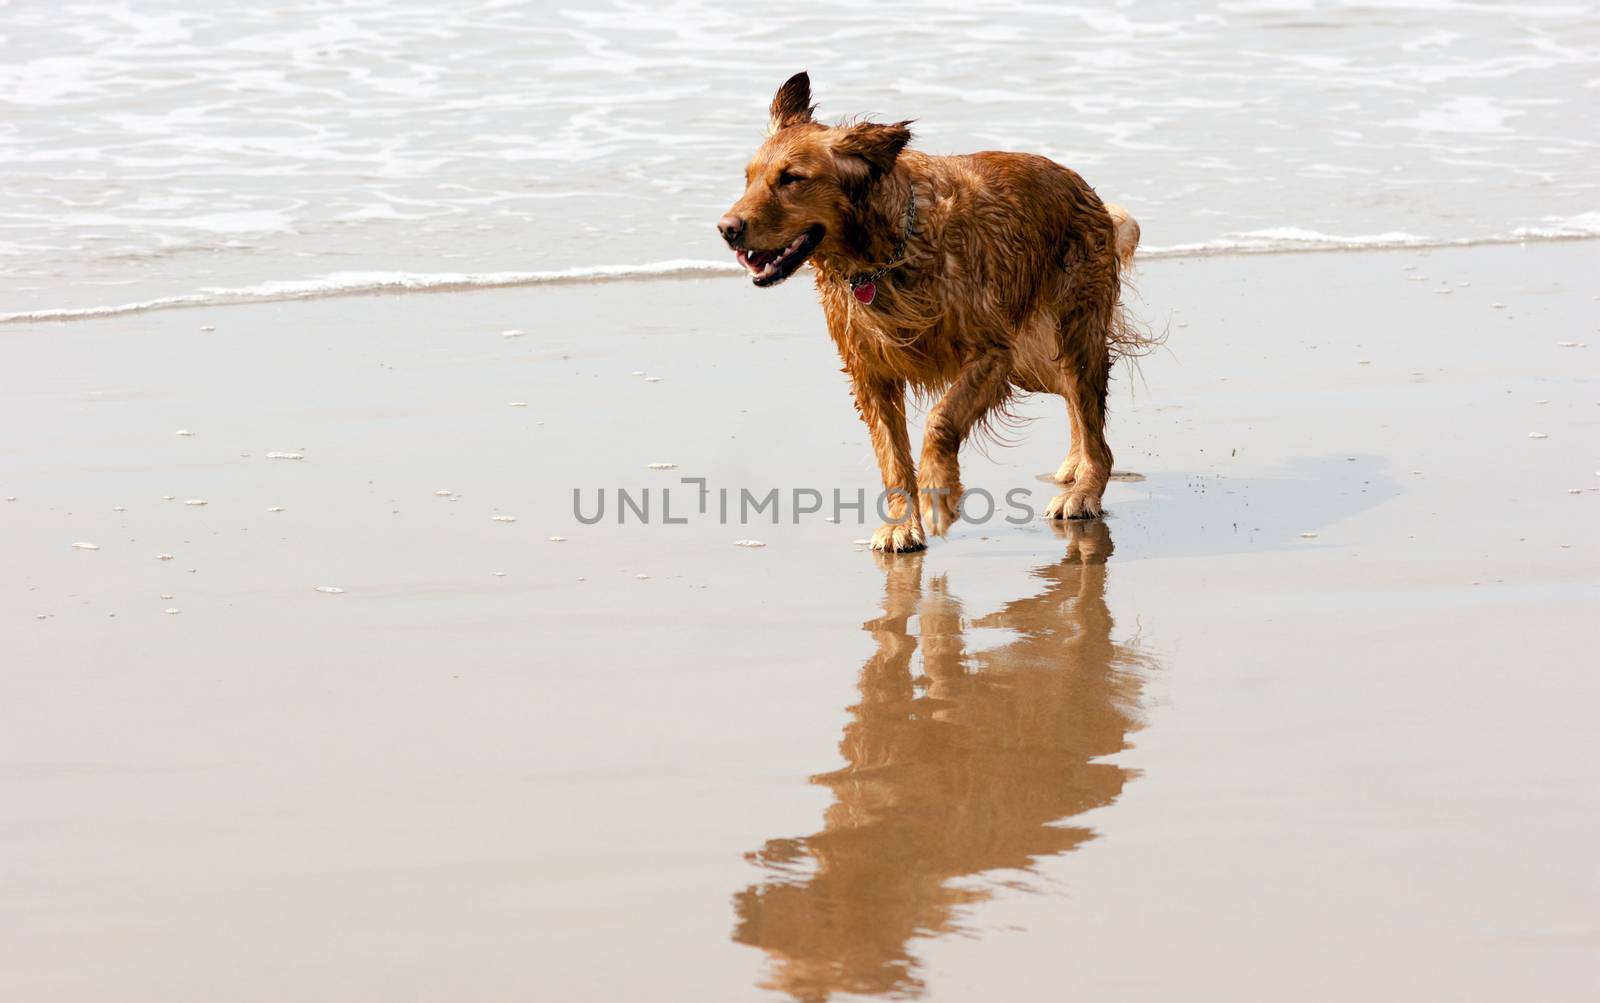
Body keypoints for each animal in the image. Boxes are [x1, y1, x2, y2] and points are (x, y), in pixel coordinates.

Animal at [720, 73, 1145, 553]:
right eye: (748, 178)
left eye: (792, 178)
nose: (726, 228)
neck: (882, 255)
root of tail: (1087, 191)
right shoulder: (870, 373)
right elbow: (891, 456)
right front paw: (902, 524)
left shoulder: (991, 353)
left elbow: (942, 419)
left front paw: (938, 495)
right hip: (1033, 360)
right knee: (1072, 401)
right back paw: (1074, 465)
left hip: (1072, 335)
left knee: (1094, 428)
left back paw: (1083, 492)